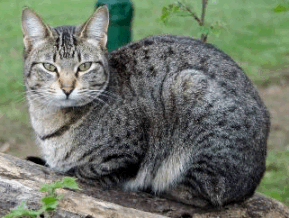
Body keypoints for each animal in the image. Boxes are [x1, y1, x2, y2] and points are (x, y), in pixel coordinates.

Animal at [21, 5, 268, 208]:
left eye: (84, 66)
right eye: (49, 67)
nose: (67, 88)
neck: (49, 120)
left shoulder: (125, 156)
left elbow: (81, 170)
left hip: (189, 87)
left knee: (202, 194)